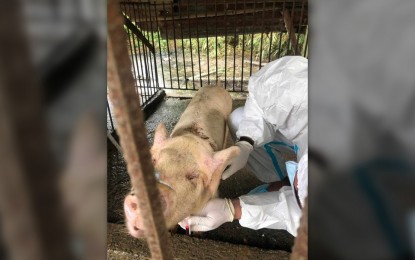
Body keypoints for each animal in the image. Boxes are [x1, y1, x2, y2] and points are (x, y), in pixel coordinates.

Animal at [123, 85, 240, 238]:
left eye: (193, 176)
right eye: (153, 161)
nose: (145, 201)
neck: (191, 137)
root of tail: (215, 85)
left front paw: (198, 235)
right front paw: (171, 232)